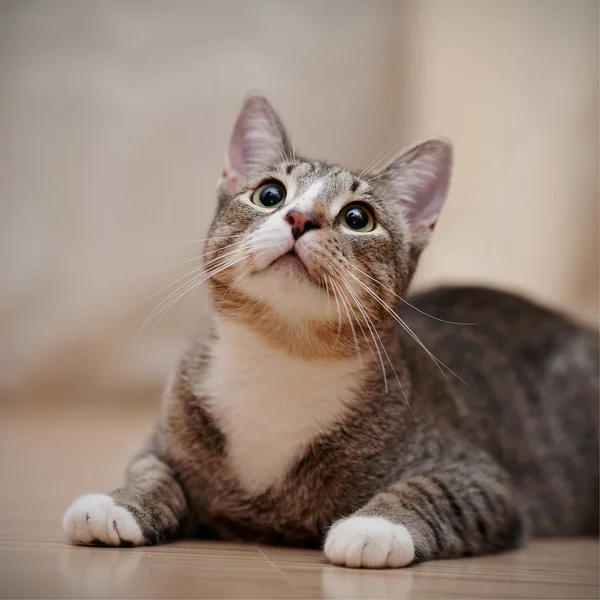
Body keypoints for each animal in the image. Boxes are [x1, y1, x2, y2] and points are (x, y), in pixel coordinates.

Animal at [63, 94, 596, 568]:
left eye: (358, 218)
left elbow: (436, 488)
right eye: (269, 195)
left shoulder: (481, 476)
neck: (283, 356)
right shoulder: (165, 438)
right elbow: (152, 470)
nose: (300, 217)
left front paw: (376, 527)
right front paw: (118, 502)